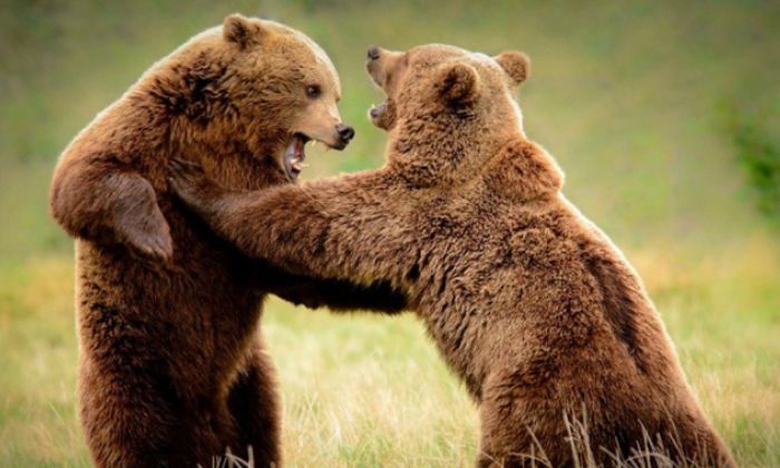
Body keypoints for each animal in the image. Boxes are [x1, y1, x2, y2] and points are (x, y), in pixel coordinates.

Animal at [48, 14, 406, 468]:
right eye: (312, 88)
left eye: (334, 92)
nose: (344, 130)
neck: (230, 132)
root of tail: (204, 420)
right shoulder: (151, 125)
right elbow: (82, 176)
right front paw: (157, 237)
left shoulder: (258, 185)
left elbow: (292, 249)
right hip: (134, 363)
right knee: (135, 431)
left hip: (247, 380)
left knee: (260, 430)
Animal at [169, 44, 736, 468]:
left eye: (408, 58)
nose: (373, 51)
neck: (451, 155)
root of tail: (643, 425)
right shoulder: (418, 247)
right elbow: (360, 283)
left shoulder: (420, 212)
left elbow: (323, 224)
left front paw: (196, 182)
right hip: (681, 422)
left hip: (538, 397)